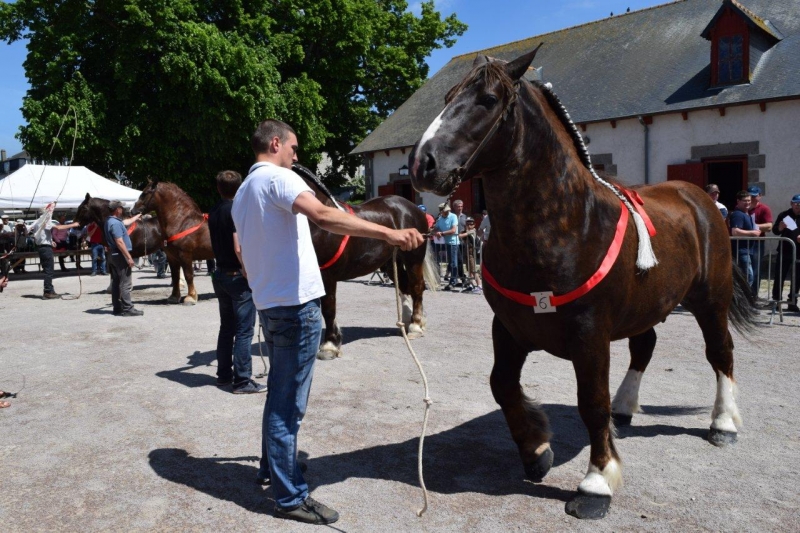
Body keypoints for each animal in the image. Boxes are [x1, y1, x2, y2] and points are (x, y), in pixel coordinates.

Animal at [290, 164, 438, 360]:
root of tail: (414, 208)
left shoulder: (326, 274)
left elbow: (328, 309)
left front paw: (329, 345)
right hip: (391, 264)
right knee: (405, 288)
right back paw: (408, 322)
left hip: (413, 258)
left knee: (417, 287)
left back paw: (416, 326)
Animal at [410, 47, 760, 516]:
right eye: (448, 96)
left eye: (487, 99)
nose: (422, 163)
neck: (565, 226)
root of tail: (699, 198)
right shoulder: (510, 328)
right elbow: (502, 386)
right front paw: (536, 450)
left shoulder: (589, 335)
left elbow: (592, 403)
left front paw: (596, 482)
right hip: (646, 305)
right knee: (644, 347)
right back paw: (625, 409)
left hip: (710, 301)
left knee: (720, 353)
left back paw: (723, 423)